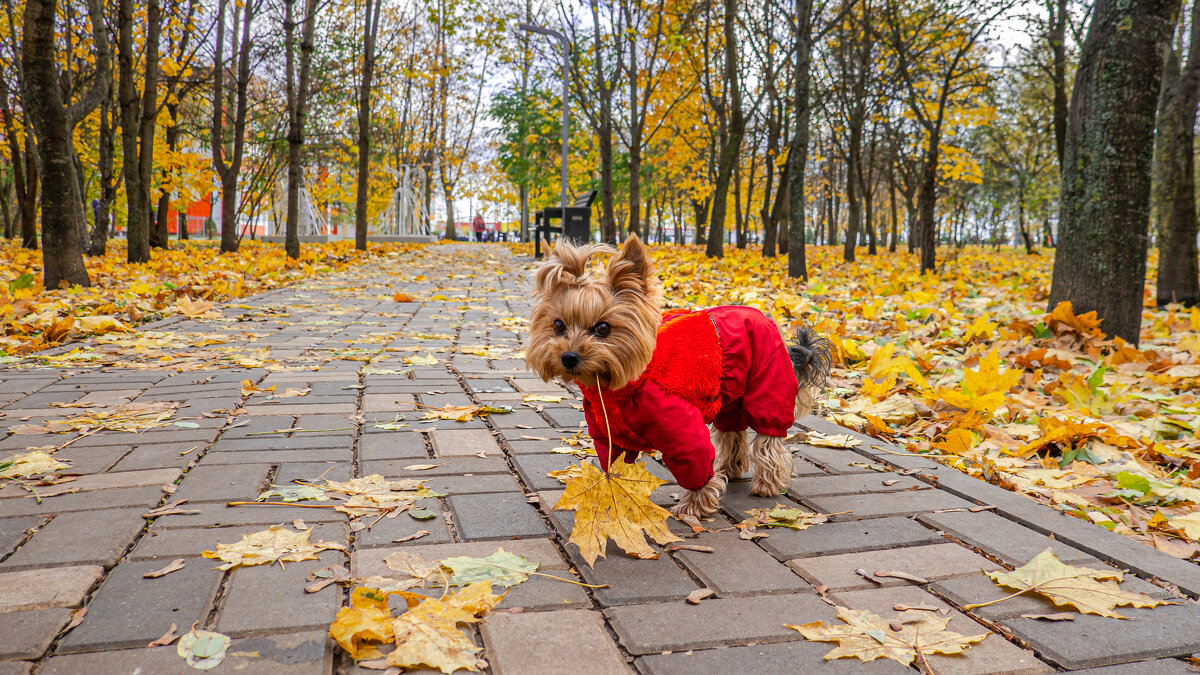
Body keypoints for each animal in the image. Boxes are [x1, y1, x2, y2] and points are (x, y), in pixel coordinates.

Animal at [530, 235, 830, 514]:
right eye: (558, 326)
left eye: (603, 328)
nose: (568, 357)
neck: (617, 389)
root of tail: (767, 319)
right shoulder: (607, 432)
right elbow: (611, 465)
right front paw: (615, 498)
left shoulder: (681, 427)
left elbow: (695, 461)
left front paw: (695, 507)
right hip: (730, 395)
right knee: (732, 431)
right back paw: (728, 468)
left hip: (768, 384)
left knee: (768, 439)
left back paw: (766, 484)